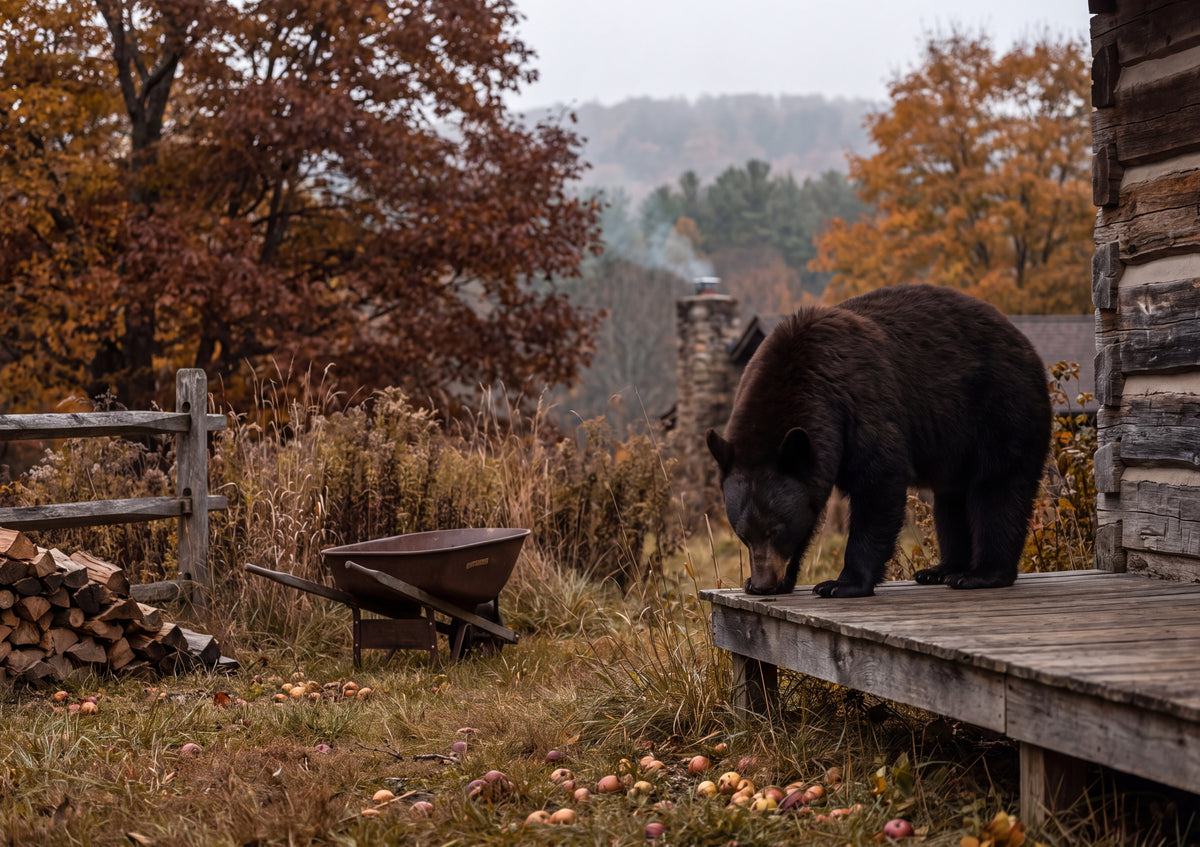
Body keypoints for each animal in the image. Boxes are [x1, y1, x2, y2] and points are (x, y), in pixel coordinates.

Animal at [706, 284, 1051, 598]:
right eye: (742, 535)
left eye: (775, 530)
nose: (763, 584)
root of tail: (1025, 343)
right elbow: (809, 507)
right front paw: (781, 579)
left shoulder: (860, 405)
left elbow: (878, 484)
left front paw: (841, 583)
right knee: (951, 500)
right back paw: (942, 569)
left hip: (1001, 409)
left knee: (998, 487)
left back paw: (981, 574)